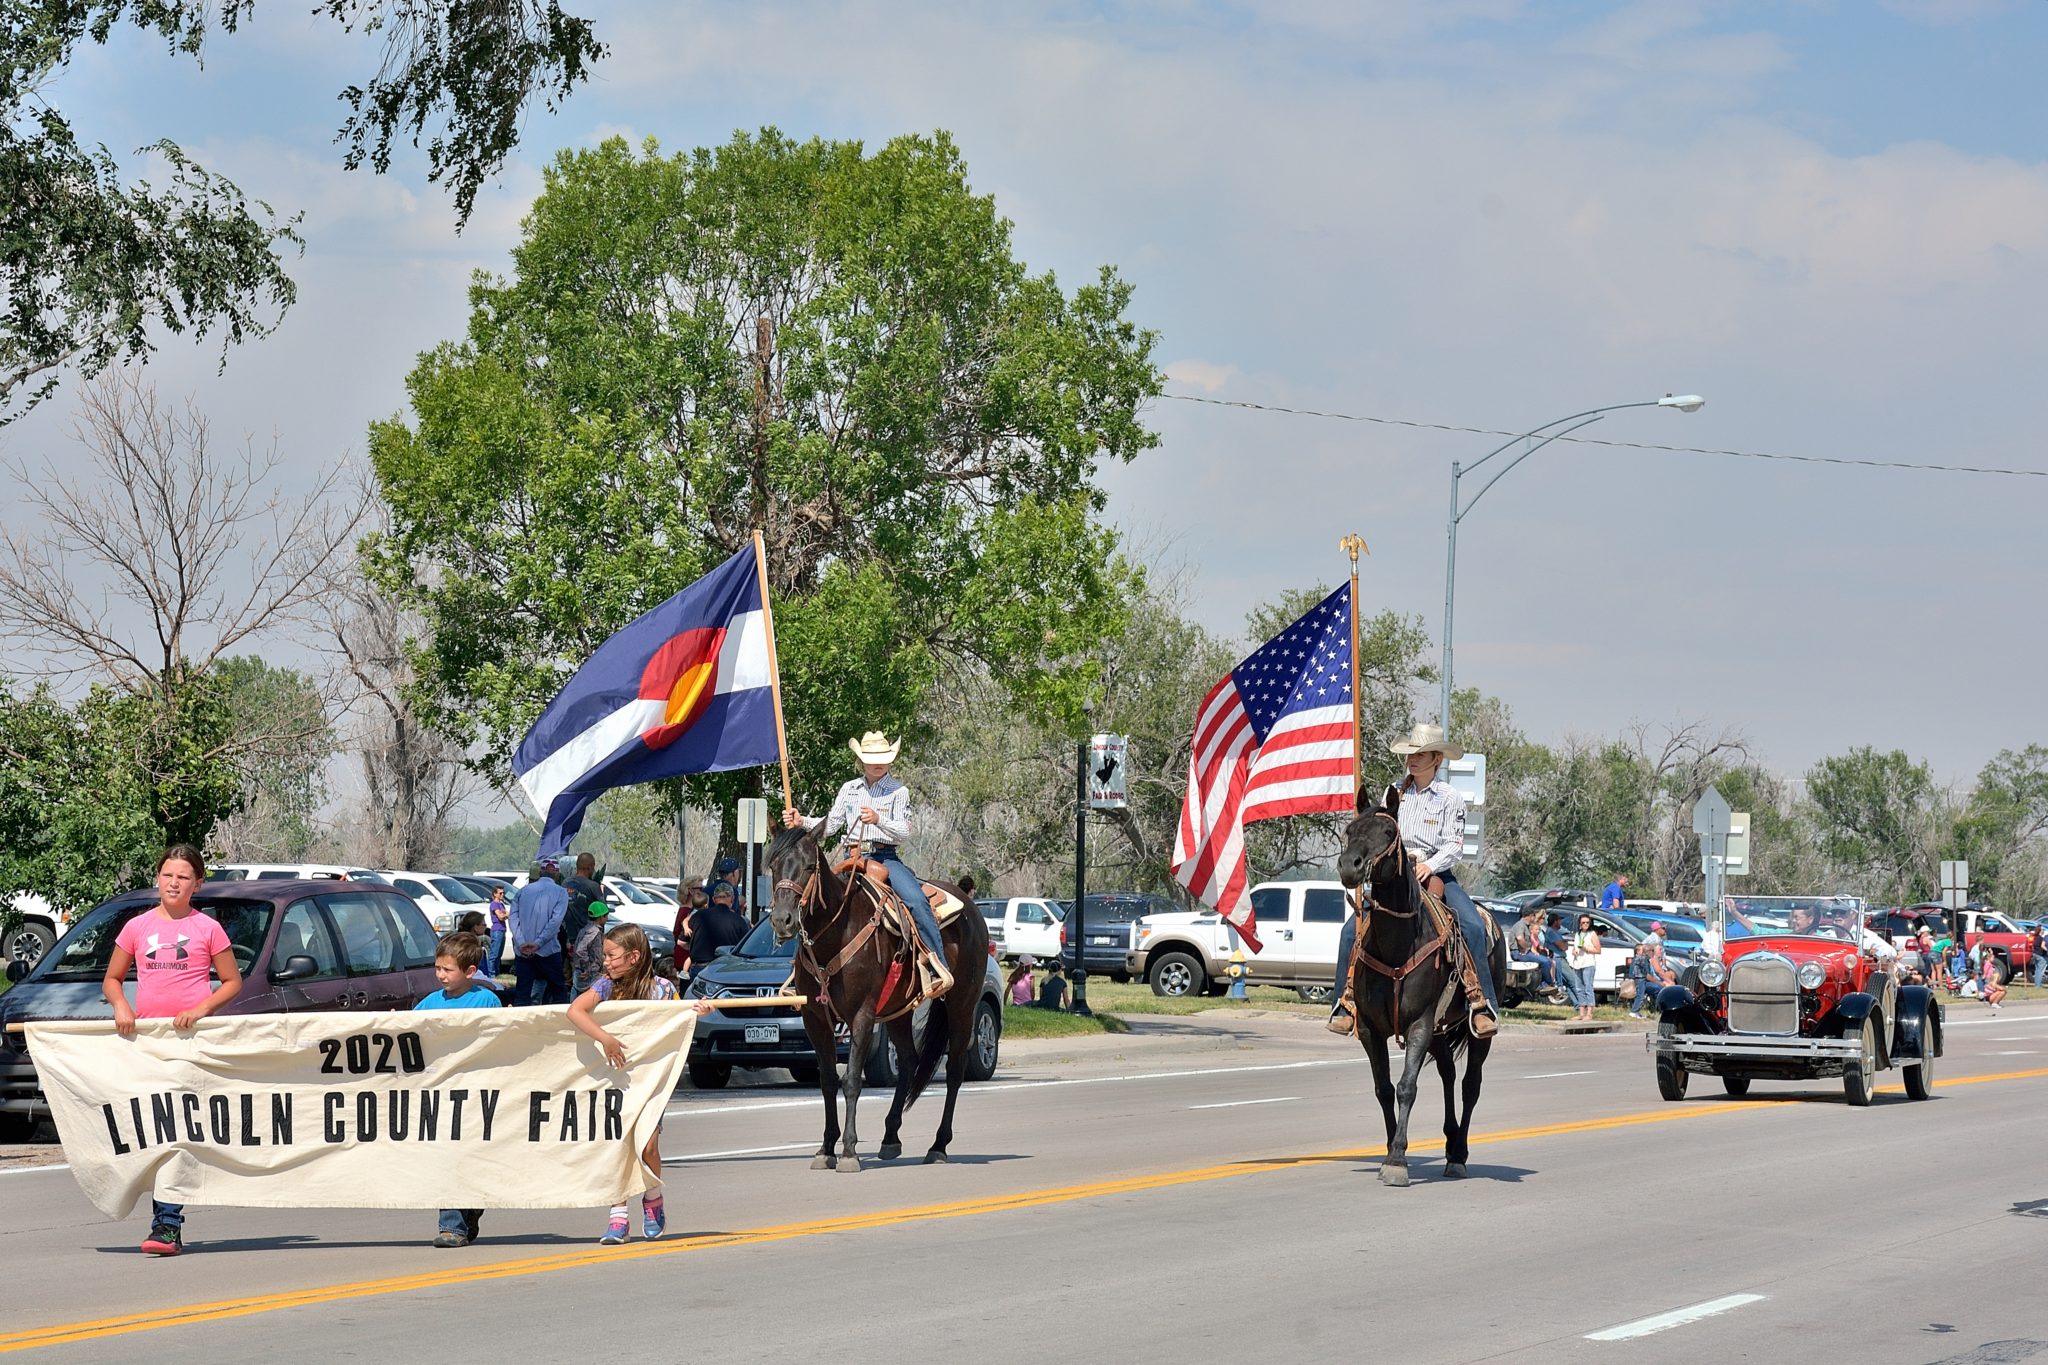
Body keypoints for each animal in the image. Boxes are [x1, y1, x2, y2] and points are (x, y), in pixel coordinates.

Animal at [770, 822, 991, 1178]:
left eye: (808, 867)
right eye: (773, 866)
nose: (782, 920)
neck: (836, 934)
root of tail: (970, 904)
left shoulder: (861, 1014)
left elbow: (850, 1082)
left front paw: (848, 1151)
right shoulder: (815, 1019)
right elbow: (827, 1081)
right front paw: (826, 1148)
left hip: (962, 1005)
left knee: (955, 1070)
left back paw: (938, 1146)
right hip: (898, 1012)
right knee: (910, 1062)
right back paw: (890, 1137)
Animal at [1343, 785, 1507, 1186]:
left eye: (1389, 832)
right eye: (1350, 829)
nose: (1349, 866)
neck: (1398, 943)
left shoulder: (1419, 1023)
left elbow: (1407, 1086)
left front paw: (1398, 1161)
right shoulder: (1370, 1029)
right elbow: (1384, 1089)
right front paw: (1390, 1150)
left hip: (1475, 1031)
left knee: (1470, 1084)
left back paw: (1459, 1154)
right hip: (1440, 1029)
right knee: (1448, 1073)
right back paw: (1449, 1145)